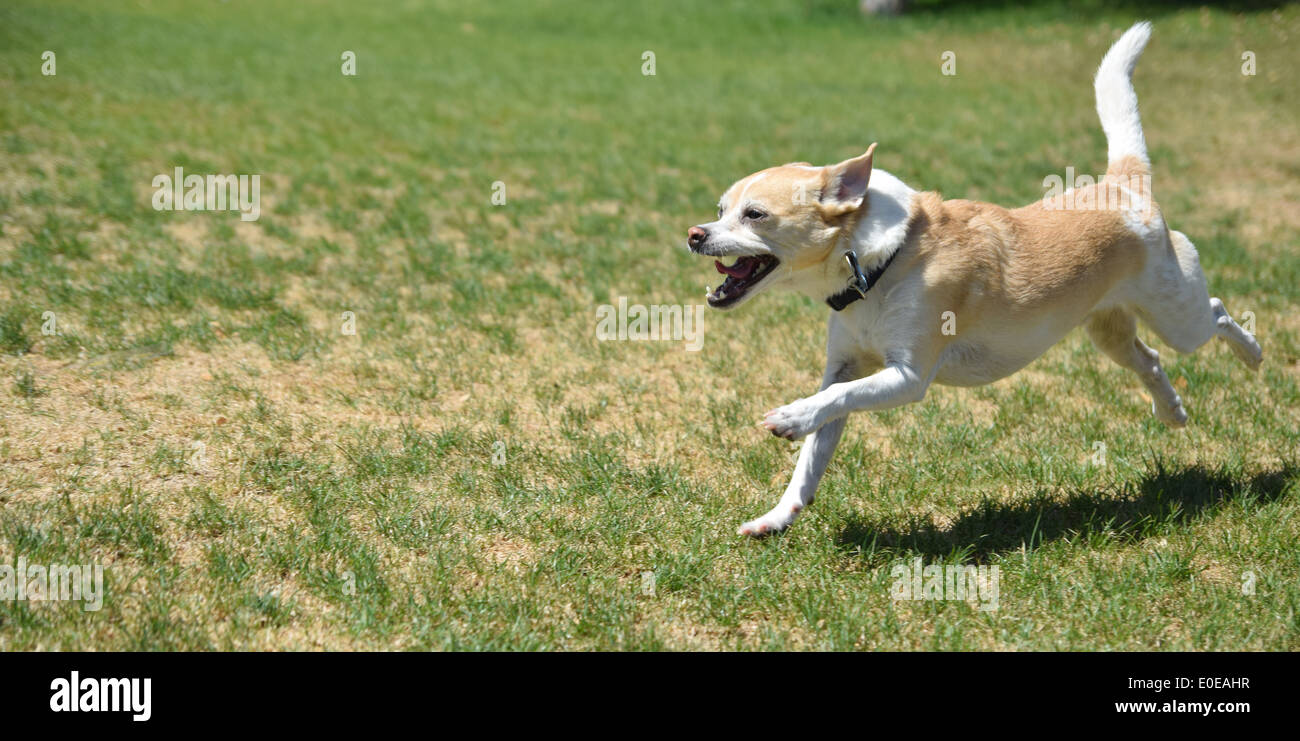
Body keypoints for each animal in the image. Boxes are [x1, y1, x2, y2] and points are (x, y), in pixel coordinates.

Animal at [686, 20, 1263, 533]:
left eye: (755, 215)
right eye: (720, 209)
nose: (694, 234)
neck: (878, 264)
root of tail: (1123, 186)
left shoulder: (906, 376)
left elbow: (833, 402)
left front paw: (789, 418)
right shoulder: (844, 366)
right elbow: (814, 450)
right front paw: (776, 517)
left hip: (1177, 312)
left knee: (1213, 315)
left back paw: (1253, 354)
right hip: (1108, 331)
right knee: (1150, 358)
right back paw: (1172, 411)